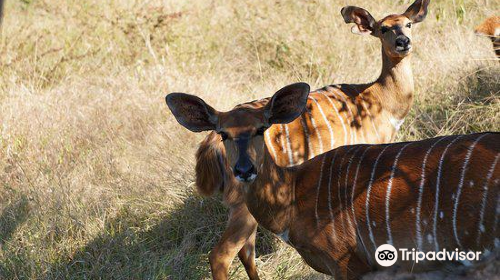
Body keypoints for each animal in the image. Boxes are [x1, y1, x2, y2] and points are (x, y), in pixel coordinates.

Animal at [191, 0, 430, 280]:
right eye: (383, 28)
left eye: (408, 23)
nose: (403, 42)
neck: (378, 100)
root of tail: (210, 143)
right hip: (243, 198)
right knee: (221, 254)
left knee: (245, 250)